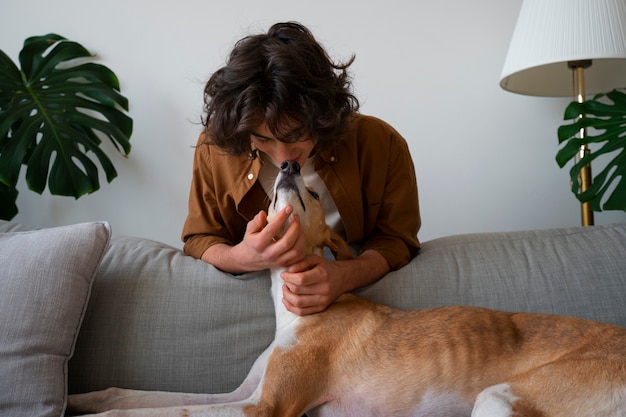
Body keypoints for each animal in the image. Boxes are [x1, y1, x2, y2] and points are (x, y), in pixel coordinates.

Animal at [67, 160, 624, 416]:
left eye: (314, 194)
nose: (288, 164)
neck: (299, 311)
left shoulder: (262, 407)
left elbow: (157, 409)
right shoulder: (243, 392)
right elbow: (133, 394)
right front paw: (82, 397)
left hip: (502, 397)